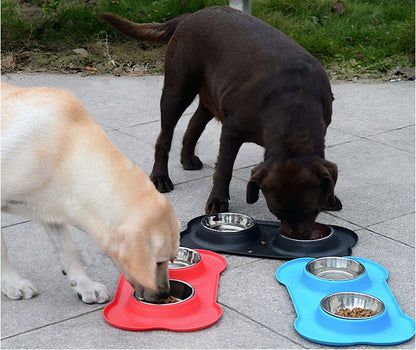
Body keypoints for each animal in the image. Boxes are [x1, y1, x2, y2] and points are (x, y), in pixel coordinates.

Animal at [100, 6, 342, 239]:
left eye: (313, 211)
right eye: (276, 213)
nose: (297, 237)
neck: (294, 106)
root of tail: (190, 16)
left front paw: (331, 197)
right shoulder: (232, 130)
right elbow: (224, 168)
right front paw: (218, 201)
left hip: (211, 97)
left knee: (194, 124)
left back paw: (187, 158)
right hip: (177, 90)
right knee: (164, 137)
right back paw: (160, 177)